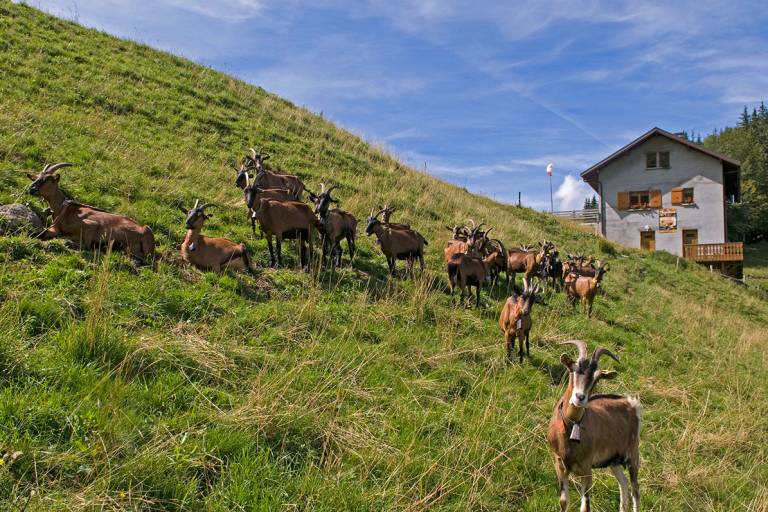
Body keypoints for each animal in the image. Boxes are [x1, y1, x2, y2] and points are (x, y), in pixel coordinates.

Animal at [25, 163, 154, 268]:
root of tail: (143, 229)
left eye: (47, 179)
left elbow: (83, 244)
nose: (31, 189)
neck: (64, 209)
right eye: (36, 178)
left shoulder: (92, 225)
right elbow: (39, 233)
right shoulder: (54, 228)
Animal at [544, 340, 640, 512]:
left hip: (633, 455)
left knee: (635, 491)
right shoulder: (559, 464)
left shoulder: (586, 468)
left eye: (598, 376)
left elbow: (585, 506)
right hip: (614, 460)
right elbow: (563, 501)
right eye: (573, 368)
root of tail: (631, 402)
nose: (580, 397)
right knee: (624, 484)